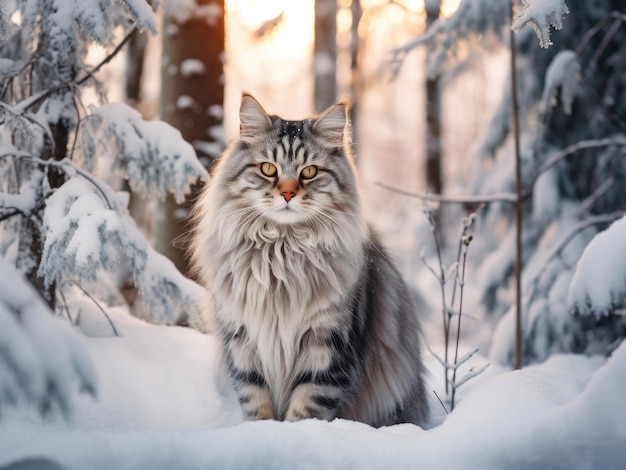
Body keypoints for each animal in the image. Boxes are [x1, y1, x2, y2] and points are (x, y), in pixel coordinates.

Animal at [188, 93, 426, 428]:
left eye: (310, 172)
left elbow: (305, 411)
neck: (282, 252)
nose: (288, 194)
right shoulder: (243, 342)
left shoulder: (328, 348)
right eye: (268, 169)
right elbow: (256, 403)